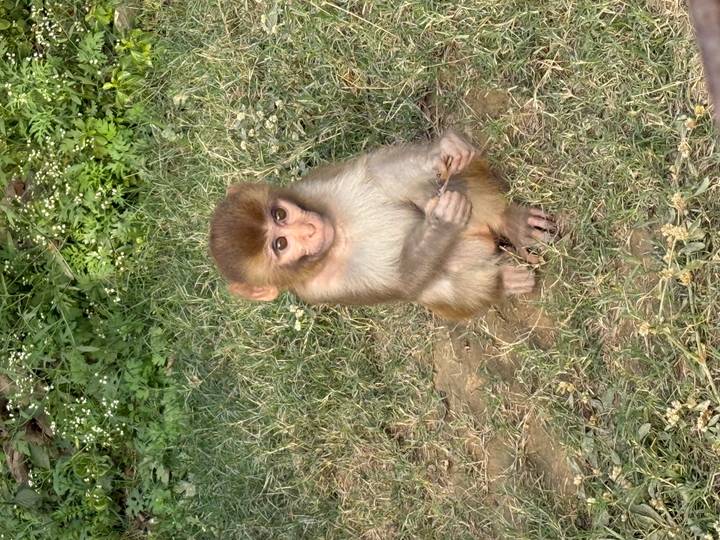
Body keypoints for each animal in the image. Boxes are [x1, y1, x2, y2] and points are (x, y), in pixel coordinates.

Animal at [209, 130, 556, 320]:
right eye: (280, 244)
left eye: (279, 215)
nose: (309, 230)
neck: (338, 236)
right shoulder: (319, 289)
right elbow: (402, 282)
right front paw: (441, 223)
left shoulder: (310, 190)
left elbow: (374, 172)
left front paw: (441, 151)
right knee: (444, 285)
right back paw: (502, 282)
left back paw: (509, 221)